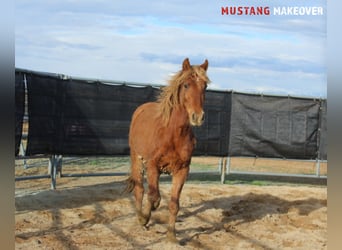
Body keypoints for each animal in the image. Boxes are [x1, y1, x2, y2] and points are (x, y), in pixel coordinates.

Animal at [123, 57, 208, 242]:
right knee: (140, 189)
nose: (197, 117)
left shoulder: (182, 170)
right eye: (186, 85)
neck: (173, 134)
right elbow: (153, 196)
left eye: (205, 86)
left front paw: (171, 235)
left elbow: (174, 204)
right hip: (136, 159)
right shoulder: (152, 166)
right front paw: (145, 218)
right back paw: (141, 219)